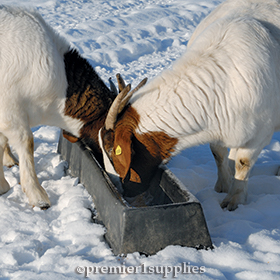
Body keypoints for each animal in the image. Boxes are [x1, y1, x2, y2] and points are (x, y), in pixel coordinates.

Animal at [99, 0, 280, 210]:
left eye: (112, 151)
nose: (122, 191)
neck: (222, 81)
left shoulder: (258, 136)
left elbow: (242, 163)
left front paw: (234, 199)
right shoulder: (218, 128)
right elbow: (218, 153)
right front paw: (223, 184)